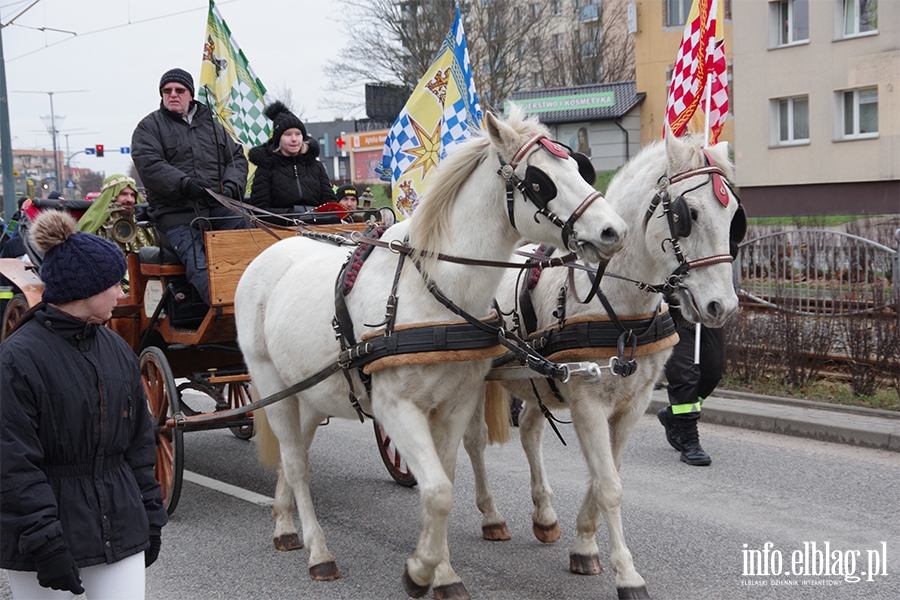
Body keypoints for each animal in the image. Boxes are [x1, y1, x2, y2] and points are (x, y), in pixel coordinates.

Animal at [234, 109, 624, 600]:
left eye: (578, 167)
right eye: (540, 180)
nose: (614, 231)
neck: (432, 290)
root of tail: (272, 251)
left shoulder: (454, 405)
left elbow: (445, 486)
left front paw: (440, 570)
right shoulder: (396, 407)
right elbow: (437, 491)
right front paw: (420, 571)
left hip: (310, 391)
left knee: (293, 455)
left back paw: (284, 525)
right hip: (273, 386)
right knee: (297, 463)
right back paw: (318, 551)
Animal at [460, 135, 740, 600]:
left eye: (735, 215)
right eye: (688, 215)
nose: (723, 306)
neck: (619, 307)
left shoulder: (631, 405)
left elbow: (604, 473)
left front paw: (584, 546)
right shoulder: (587, 401)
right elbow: (608, 485)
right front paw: (627, 574)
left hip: (539, 380)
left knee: (531, 430)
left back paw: (545, 516)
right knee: (475, 442)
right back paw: (491, 517)